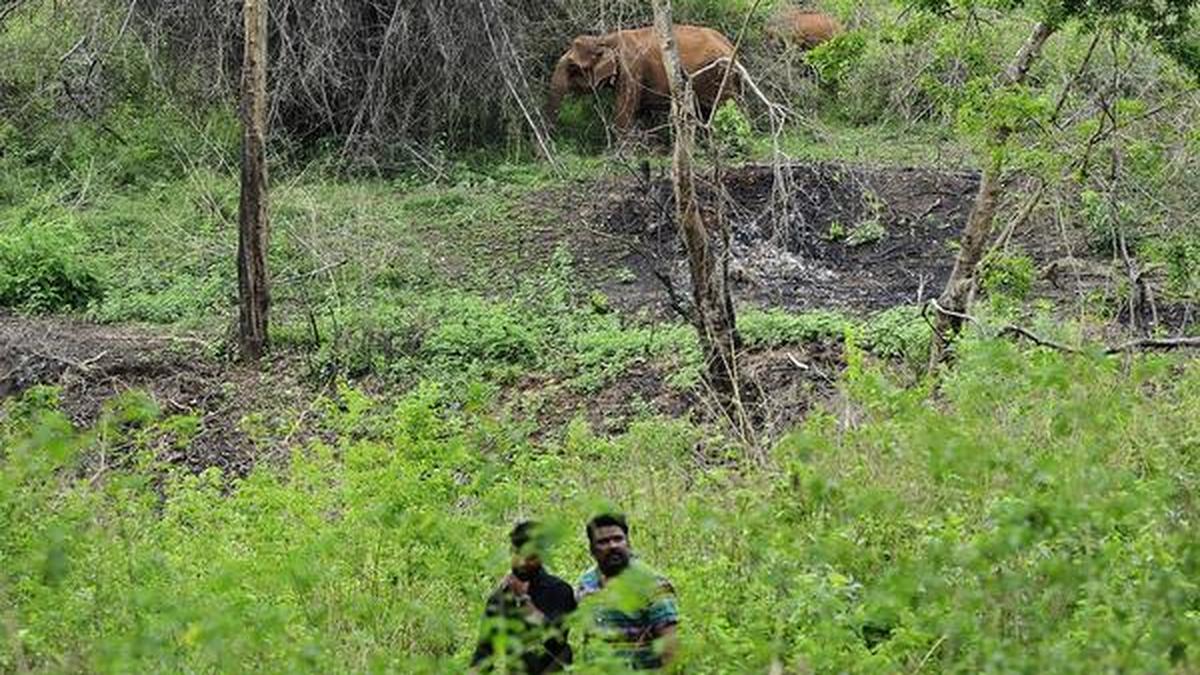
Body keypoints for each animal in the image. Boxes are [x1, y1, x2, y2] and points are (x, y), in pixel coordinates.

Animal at [546, 25, 738, 135]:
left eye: (572, 67)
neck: (604, 39)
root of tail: (730, 45)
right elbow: (638, 109)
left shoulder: (631, 68)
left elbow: (624, 110)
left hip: (719, 76)